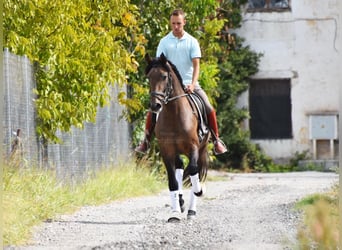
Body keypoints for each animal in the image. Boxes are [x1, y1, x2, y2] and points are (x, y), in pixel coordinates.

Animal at [144, 53, 208, 222]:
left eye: (164, 76)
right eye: (149, 77)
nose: (155, 106)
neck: (174, 114)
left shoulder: (193, 147)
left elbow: (193, 171)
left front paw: (199, 191)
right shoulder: (167, 151)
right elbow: (173, 181)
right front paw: (174, 213)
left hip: (201, 149)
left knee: (195, 170)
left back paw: (192, 210)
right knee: (179, 167)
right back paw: (180, 203)